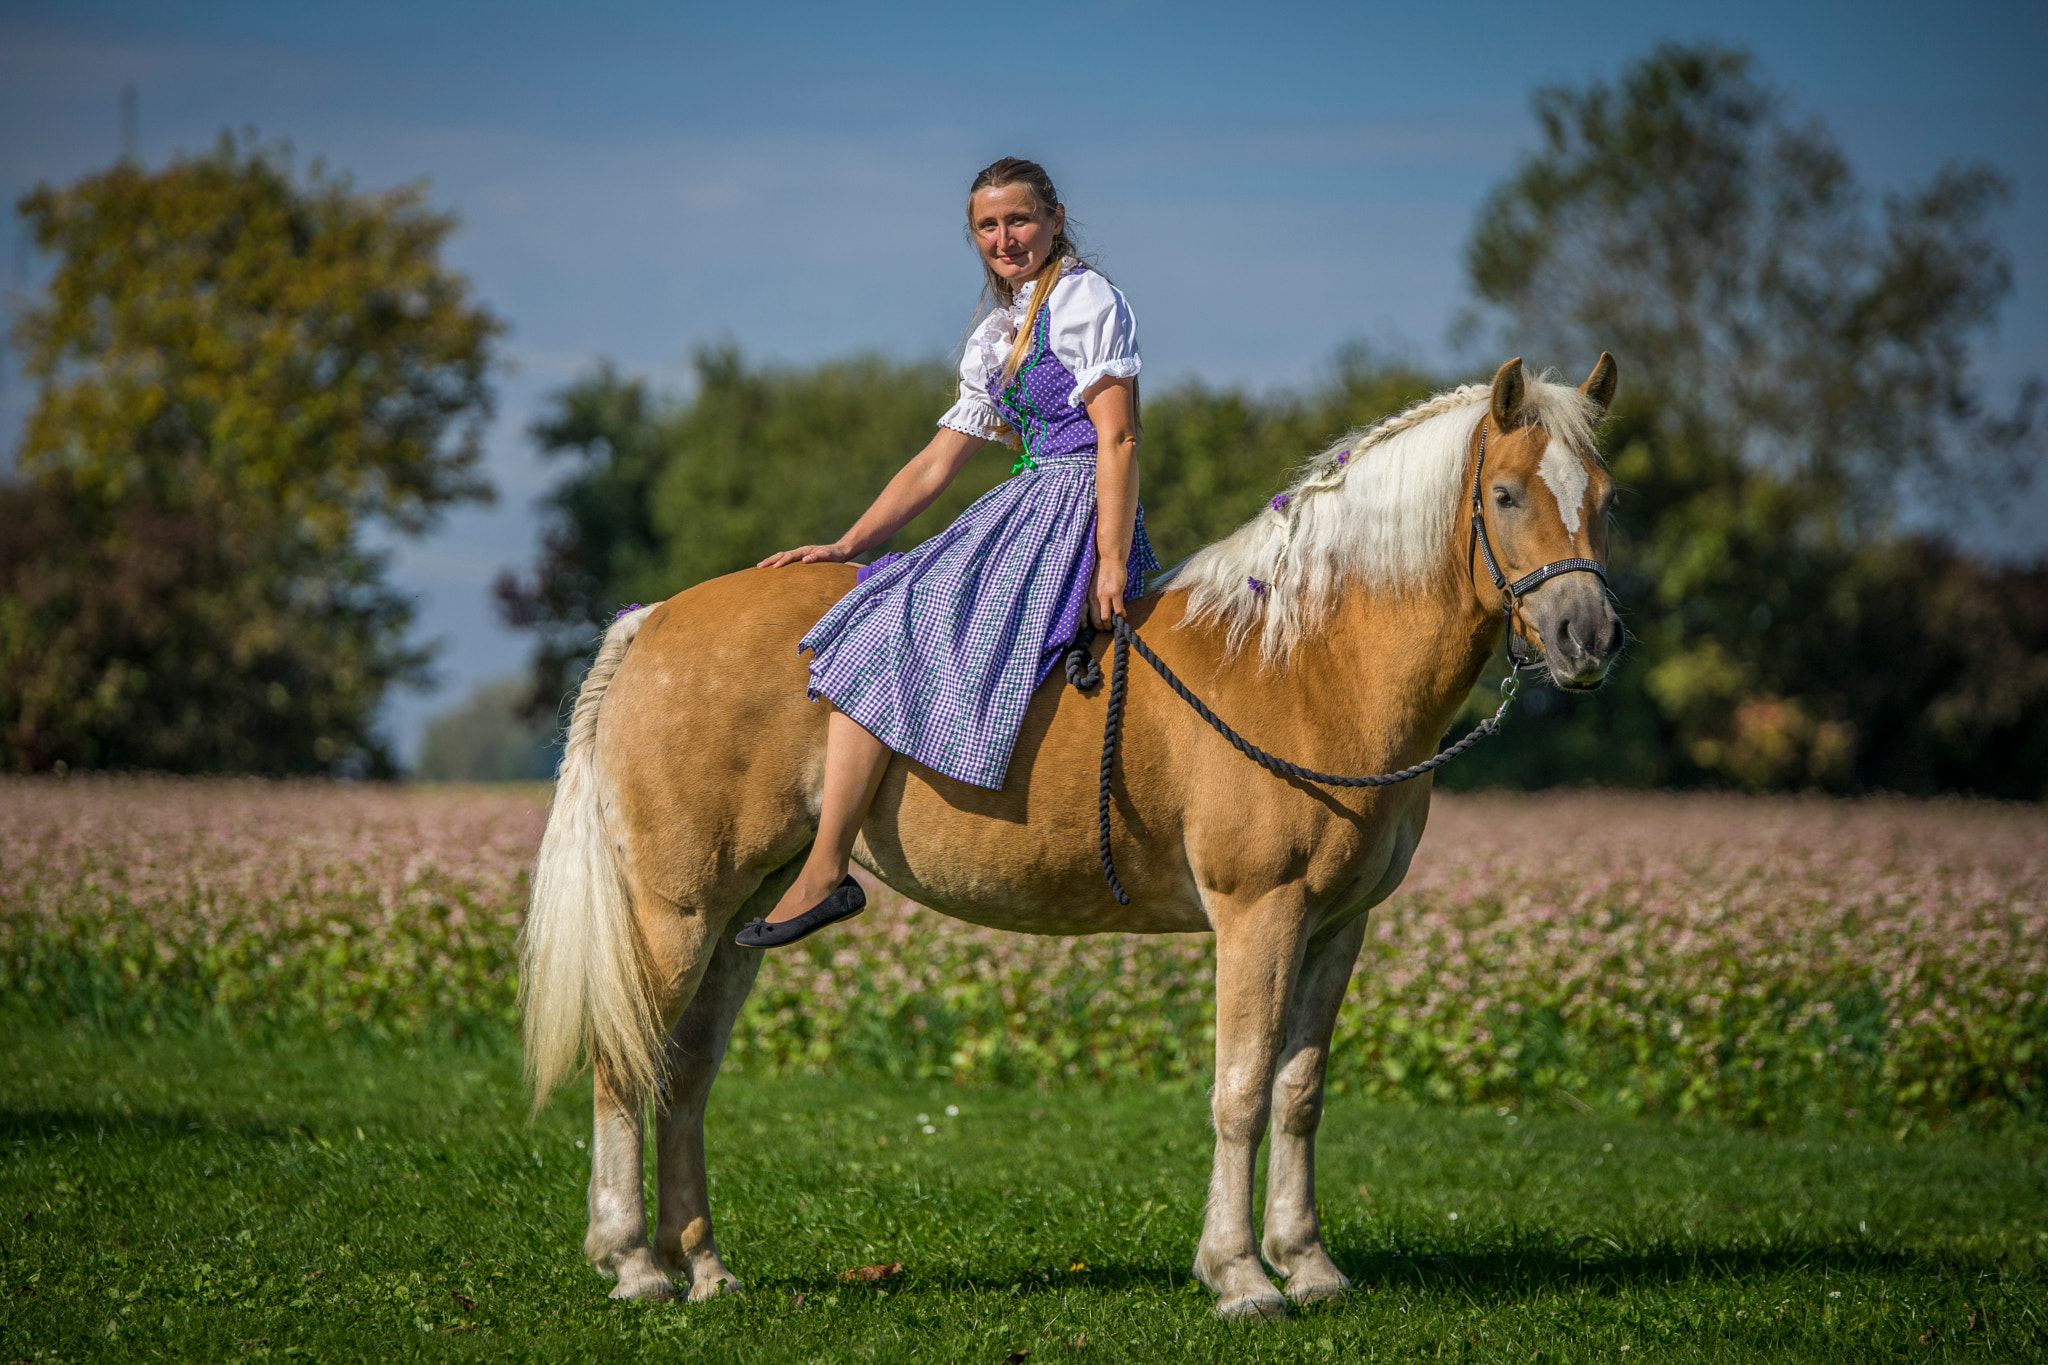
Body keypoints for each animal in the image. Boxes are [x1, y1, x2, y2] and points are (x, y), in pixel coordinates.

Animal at [520, 356, 1622, 1326]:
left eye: (1605, 498)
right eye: (1507, 494)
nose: (1588, 636)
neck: (1306, 662)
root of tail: (652, 622)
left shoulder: (1336, 925)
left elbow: (1298, 1091)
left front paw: (1308, 1265)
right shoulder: (1258, 914)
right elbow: (1238, 1090)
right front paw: (1240, 1276)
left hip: (742, 913)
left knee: (685, 1075)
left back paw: (703, 1266)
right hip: (675, 910)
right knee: (625, 1065)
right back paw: (634, 1265)